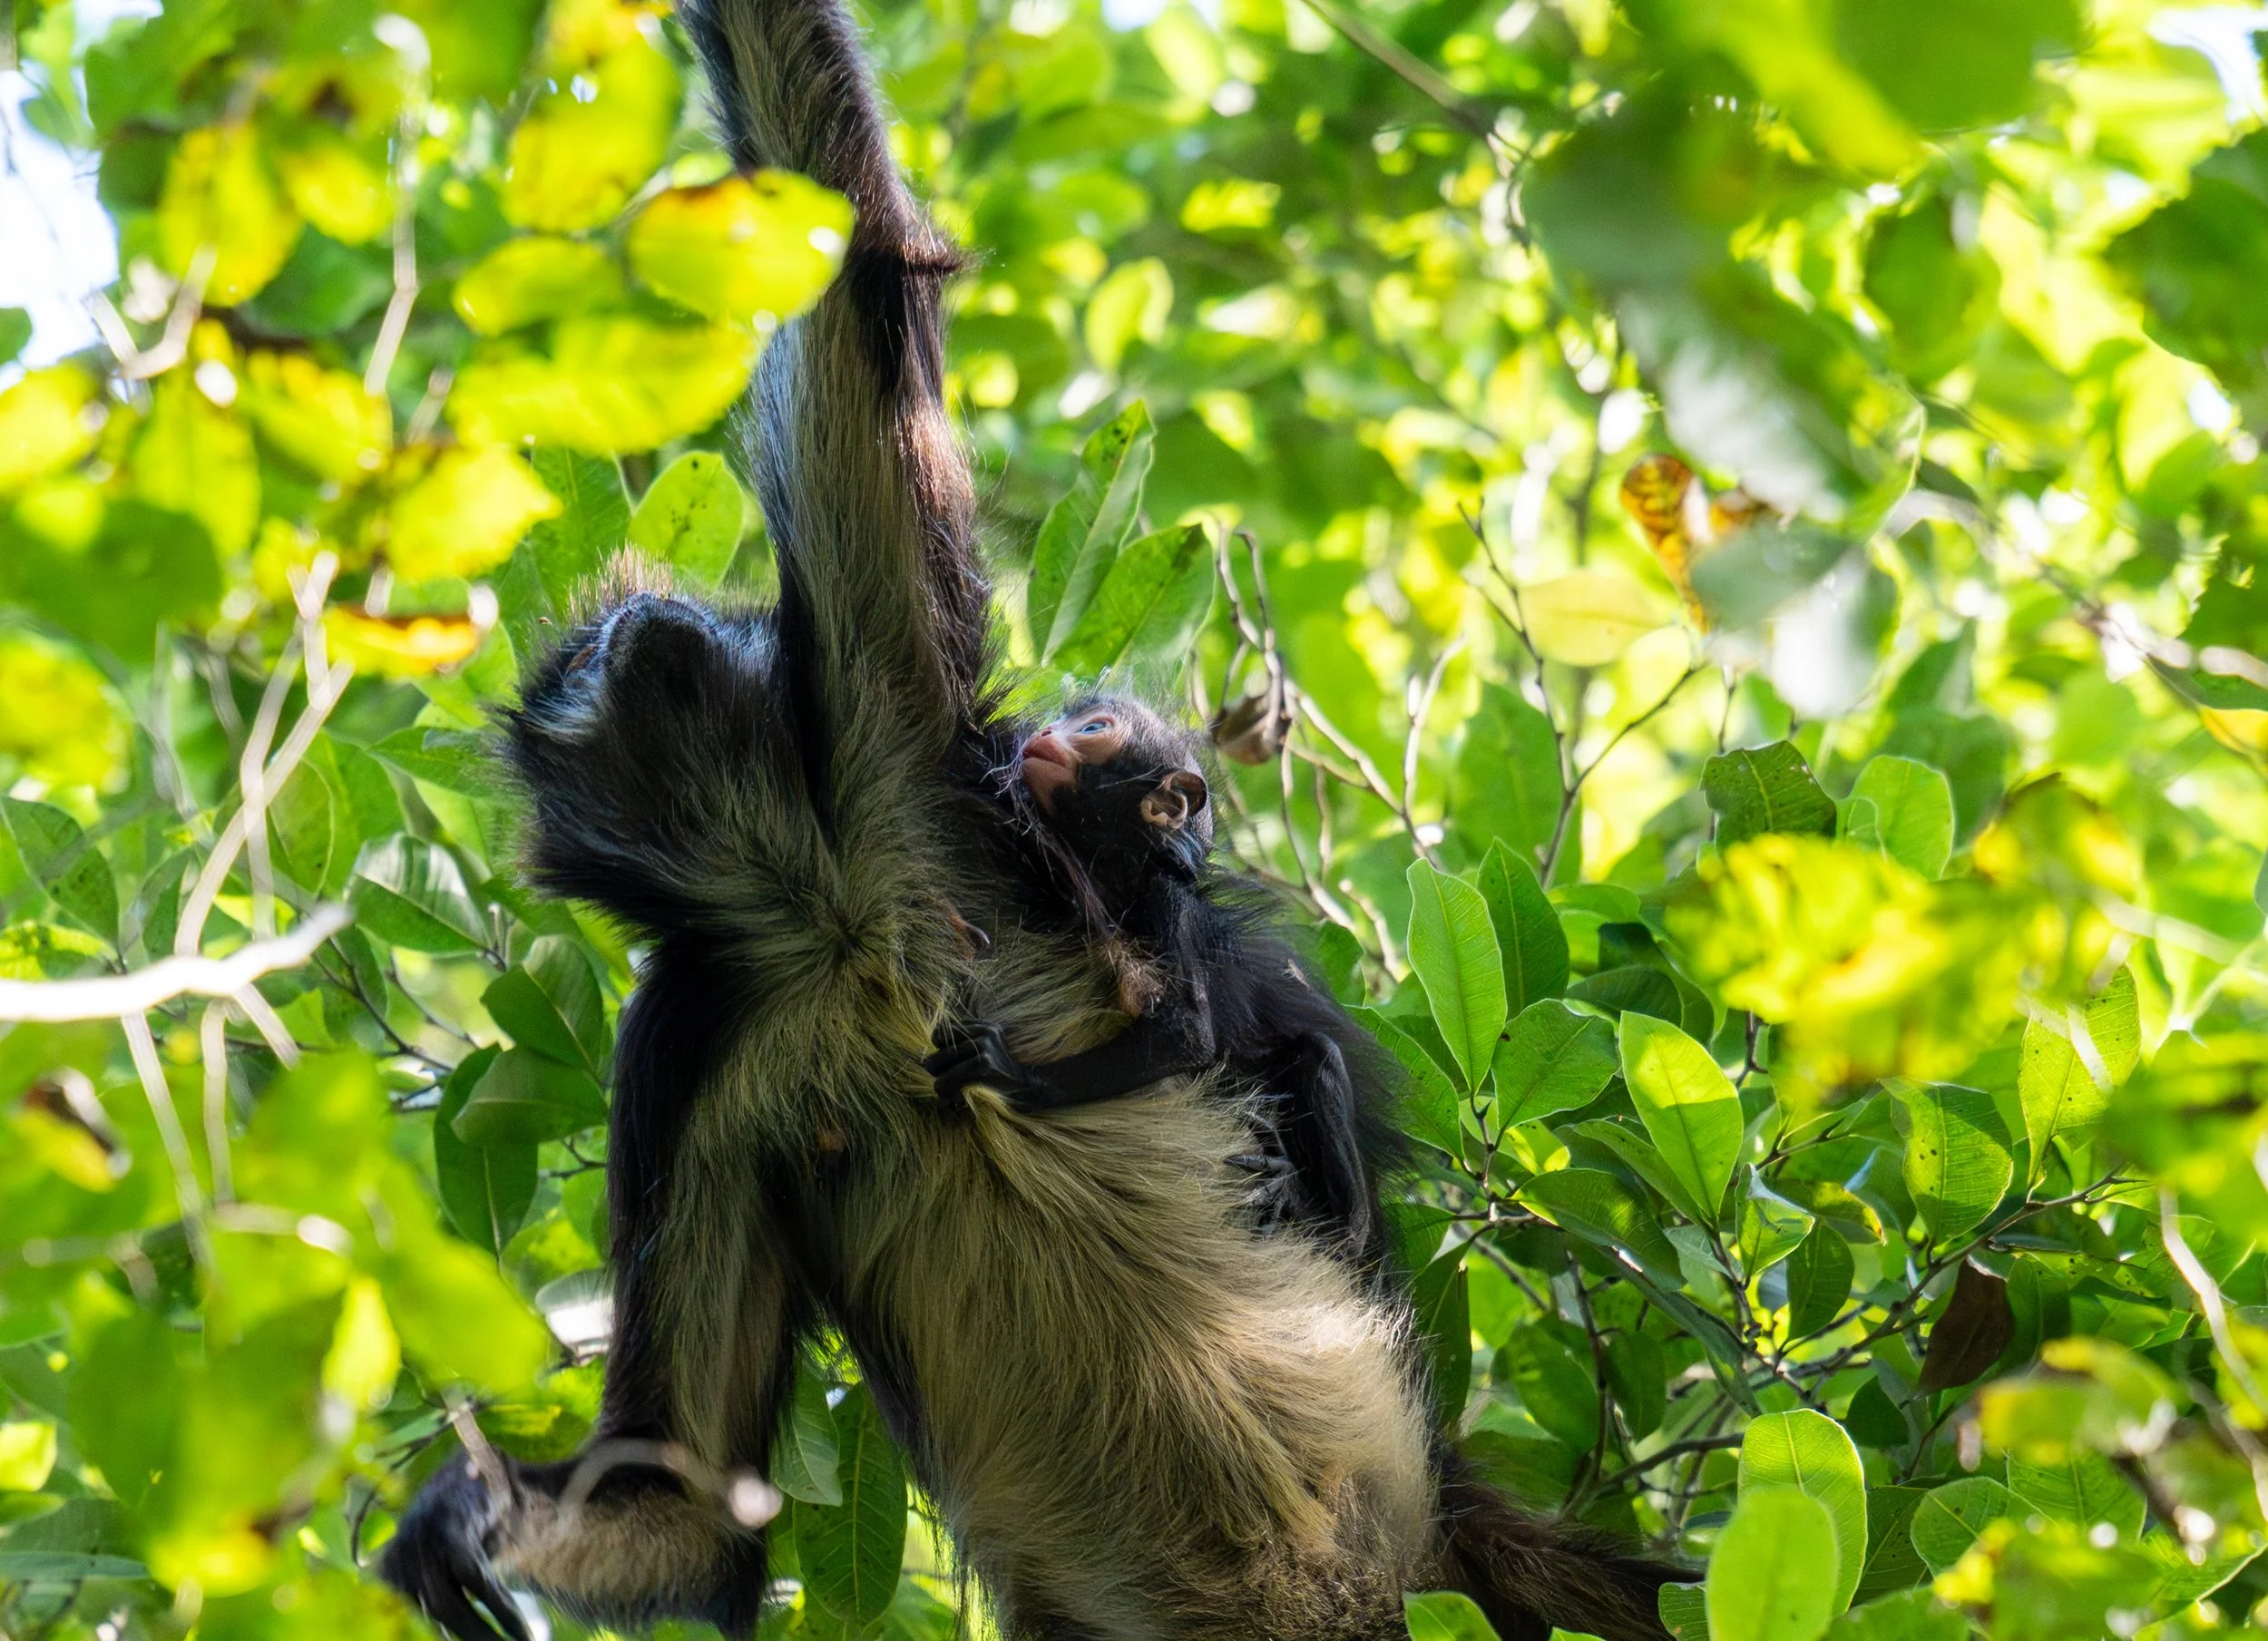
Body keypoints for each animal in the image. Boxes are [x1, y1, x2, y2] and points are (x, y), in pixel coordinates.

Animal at [376, 0, 1684, 1634]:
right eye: (583, 669)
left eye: (669, 623)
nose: (651, 630)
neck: (828, 910)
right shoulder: (689, 1034)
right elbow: (688, 1507)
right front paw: (477, 1514)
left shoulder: (901, 756)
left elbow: (850, 248)